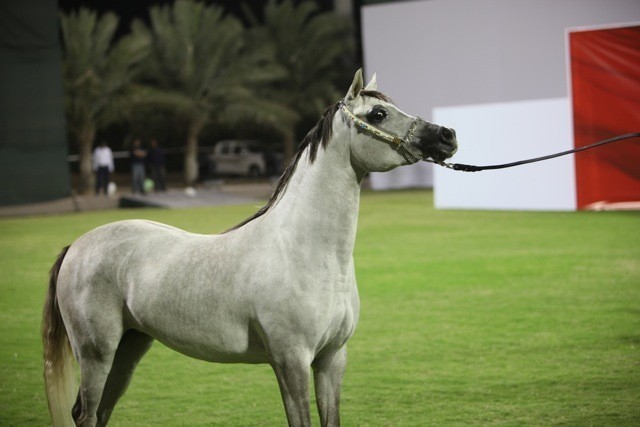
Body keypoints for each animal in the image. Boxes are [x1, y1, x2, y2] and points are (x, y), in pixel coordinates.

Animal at [42, 69, 458, 427]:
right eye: (378, 113)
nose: (447, 135)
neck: (306, 254)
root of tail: (76, 246)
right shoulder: (291, 361)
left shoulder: (332, 359)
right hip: (96, 352)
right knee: (85, 413)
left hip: (128, 349)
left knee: (100, 412)